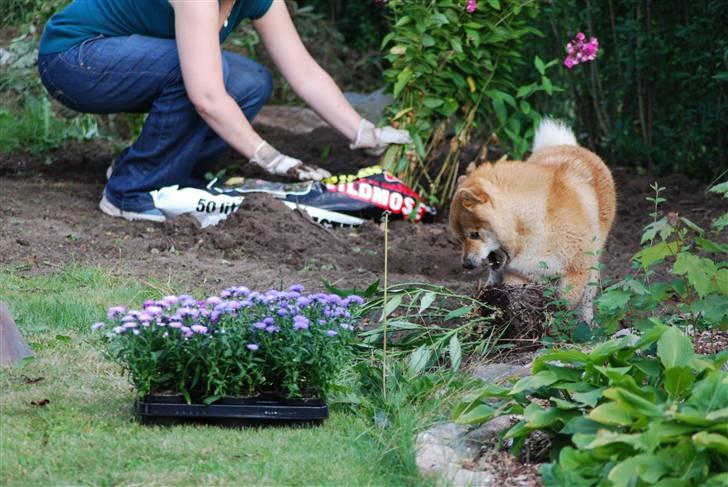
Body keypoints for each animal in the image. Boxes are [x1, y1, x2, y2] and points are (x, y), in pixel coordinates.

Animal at [450, 119, 616, 324]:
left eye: (474, 235)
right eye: (459, 239)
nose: (466, 264)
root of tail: (568, 145)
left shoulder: (574, 273)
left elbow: (561, 310)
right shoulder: (521, 275)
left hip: (592, 263)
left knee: (587, 301)